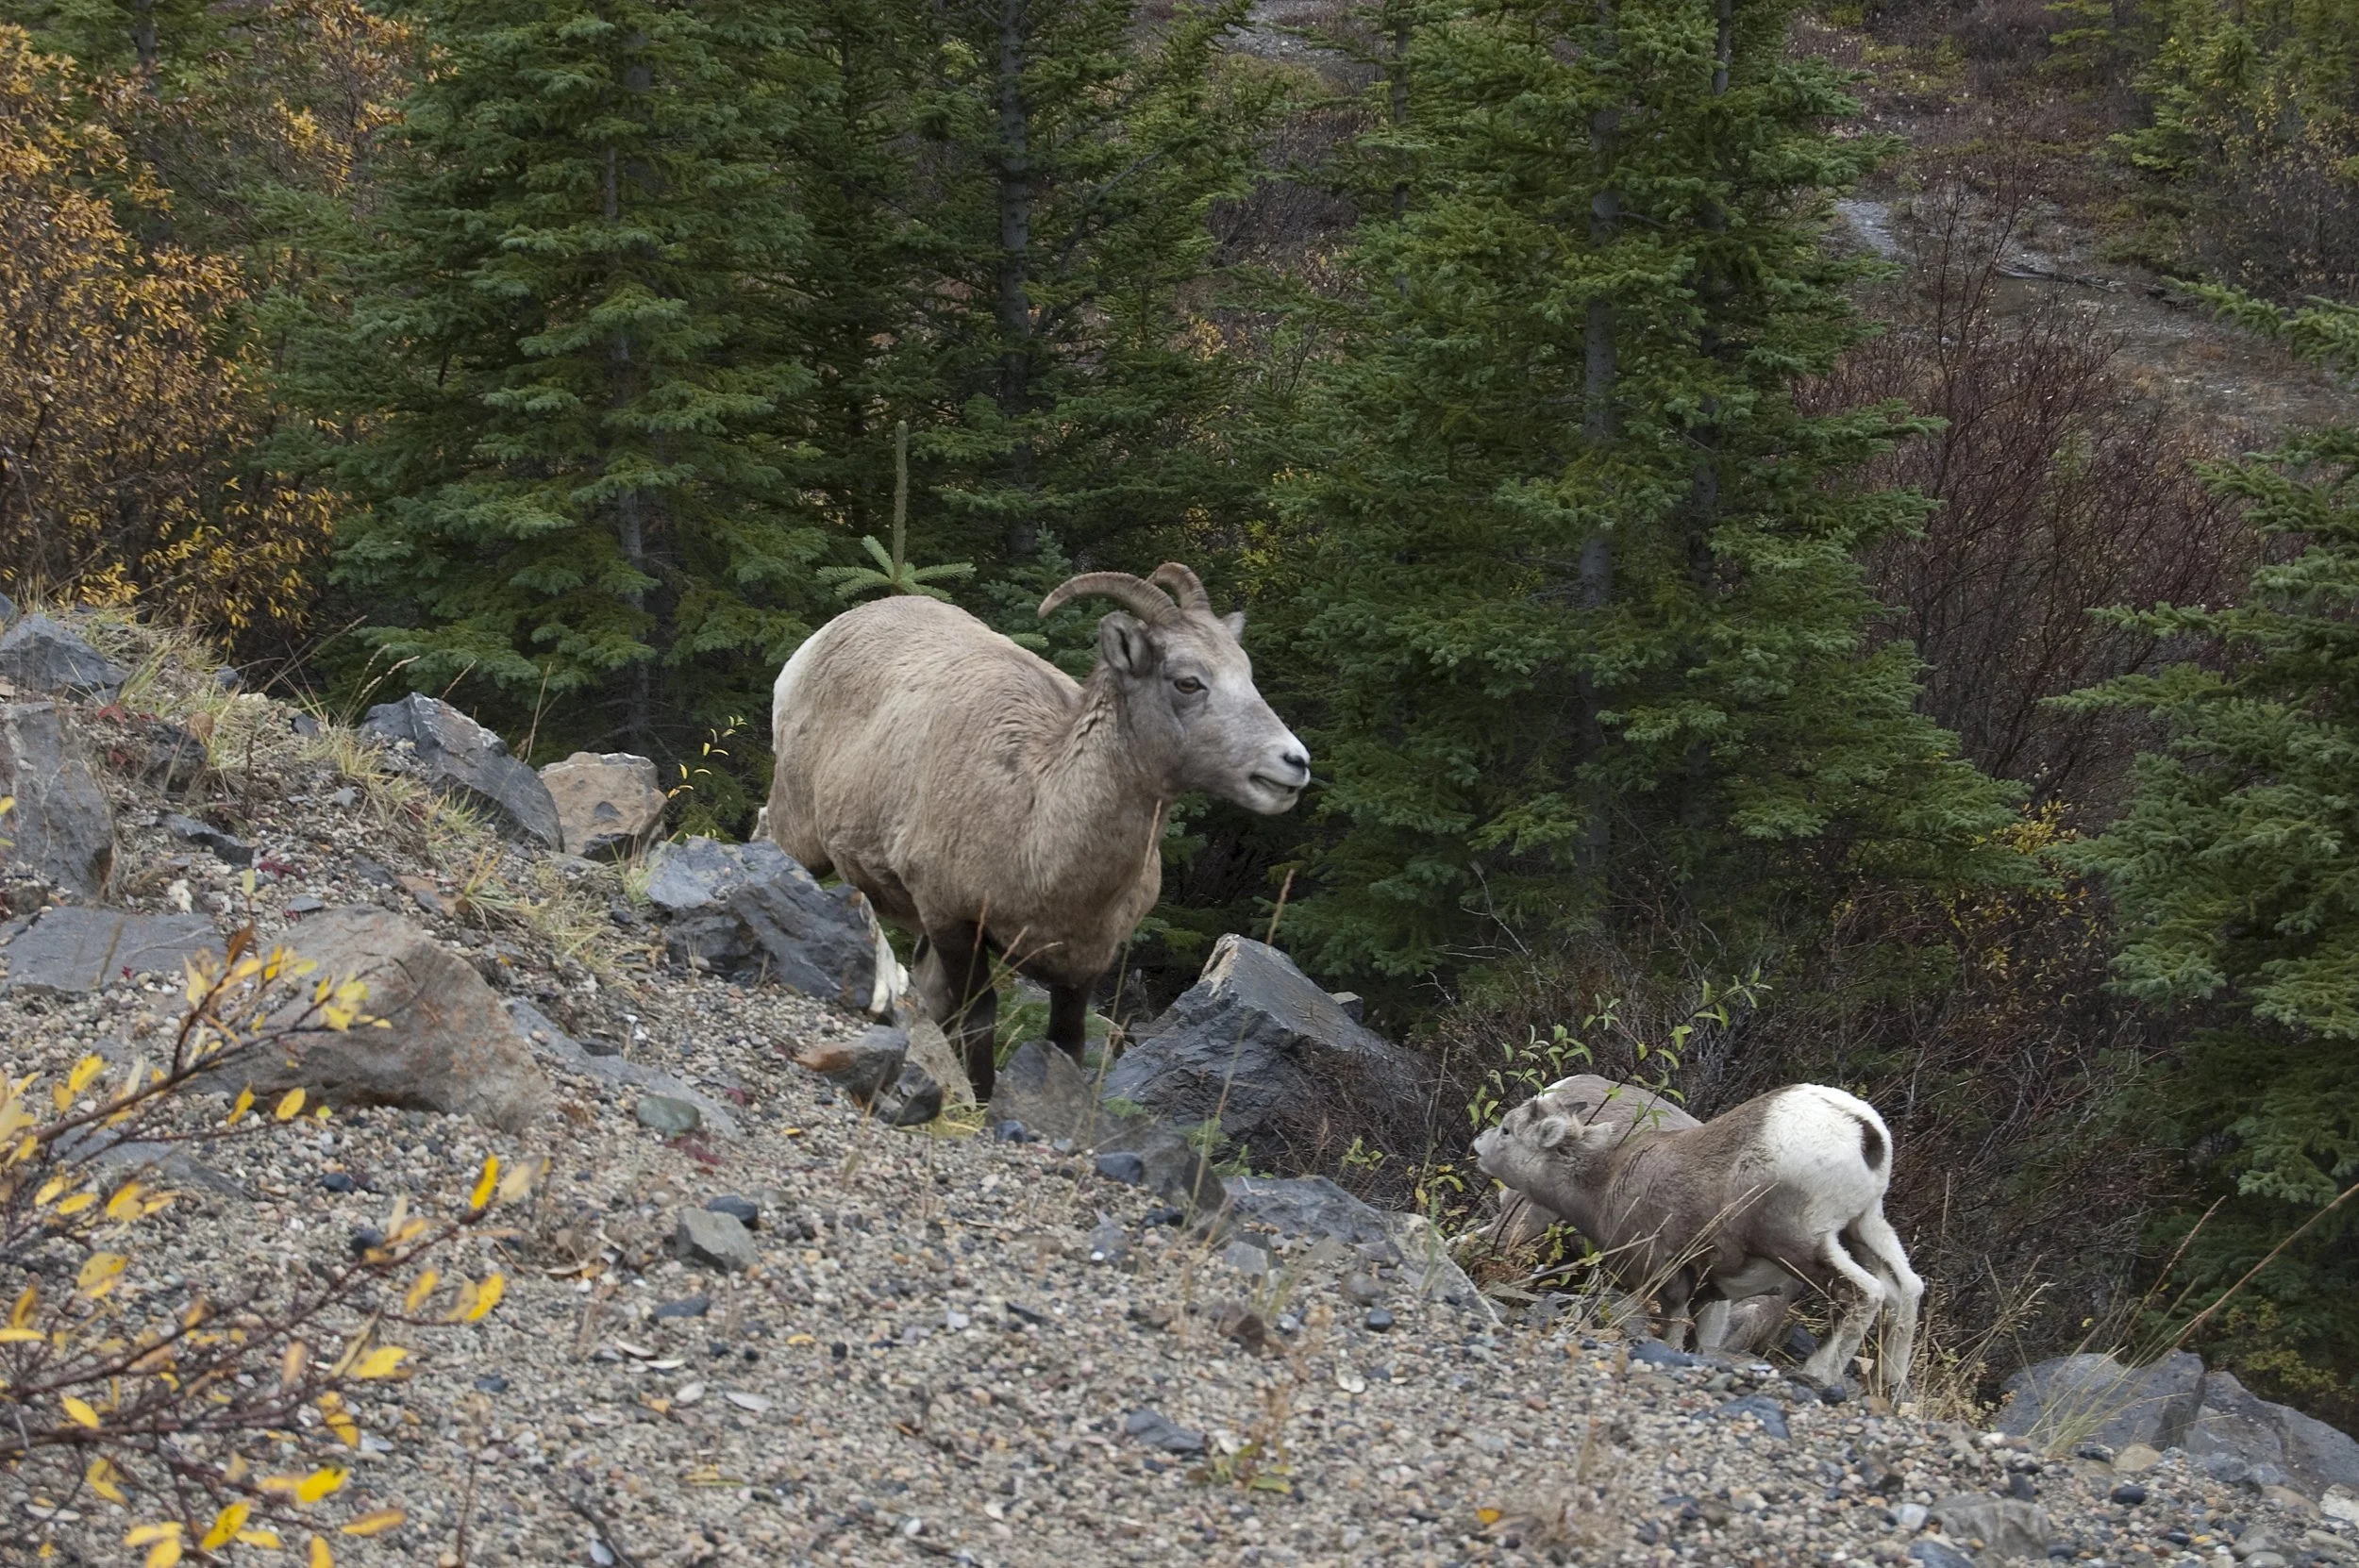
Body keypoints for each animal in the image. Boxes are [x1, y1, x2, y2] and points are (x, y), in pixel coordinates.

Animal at [766, 562, 1308, 1099]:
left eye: (1247, 674)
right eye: (1188, 682)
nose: (1294, 763)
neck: (1035, 832)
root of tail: (820, 640)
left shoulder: (1085, 964)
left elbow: (1064, 1044)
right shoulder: (951, 919)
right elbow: (977, 1017)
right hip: (799, 832)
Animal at [1474, 1080, 1923, 1394]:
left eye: (1508, 1130)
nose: (1478, 1143)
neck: (1605, 1183)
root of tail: (1862, 1130)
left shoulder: (1667, 1278)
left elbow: (1673, 1332)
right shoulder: (1713, 1294)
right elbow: (1703, 1343)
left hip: (1799, 1244)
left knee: (1864, 1293)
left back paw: (1818, 1373)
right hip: (1865, 1226)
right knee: (1905, 1288)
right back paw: (1890, 1382)